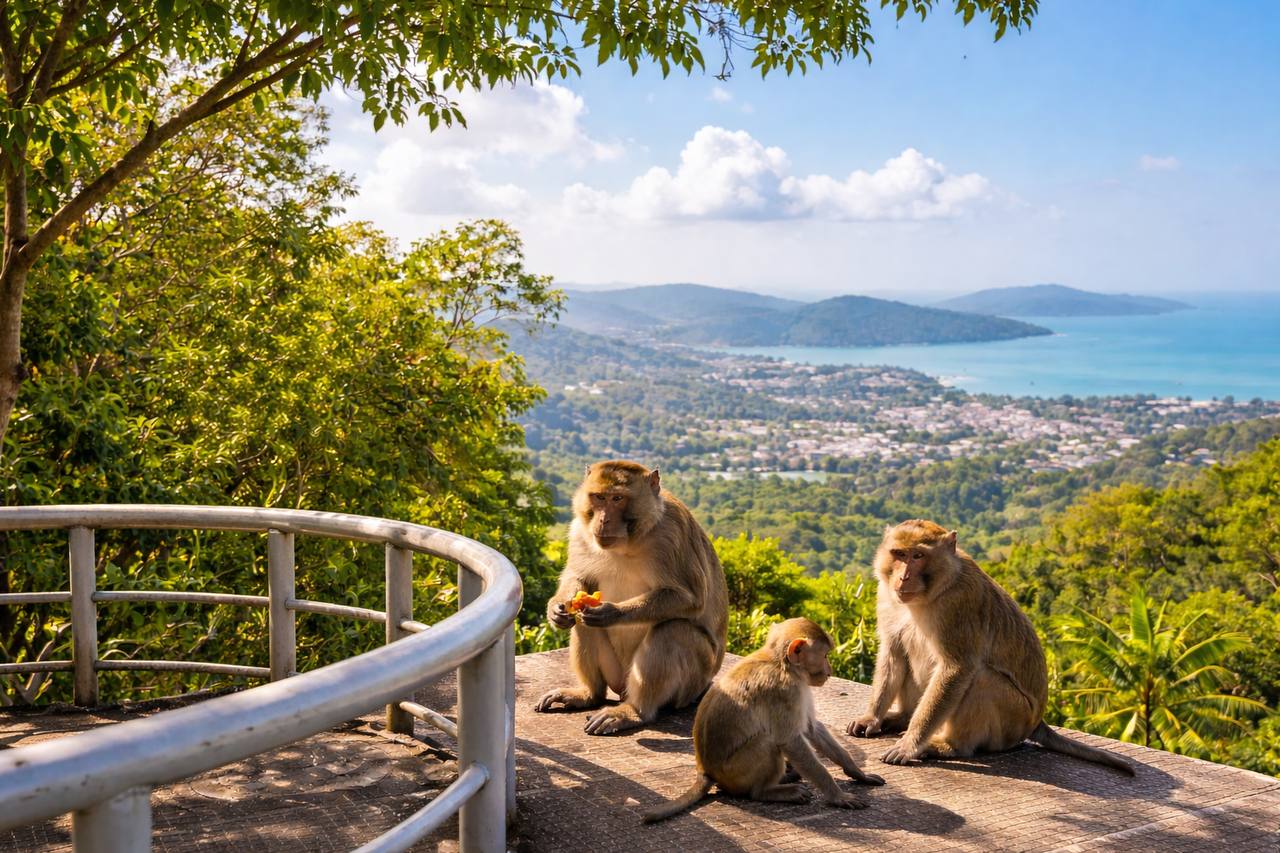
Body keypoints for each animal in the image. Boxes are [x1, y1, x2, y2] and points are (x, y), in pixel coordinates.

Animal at [533, 460, 729, 735]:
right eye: (599, 497)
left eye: (618, 498)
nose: (603, 520)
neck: (630, 541)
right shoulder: (580, 532)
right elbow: (579, 578)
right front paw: (557, 610)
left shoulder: (673, 534)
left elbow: (690, 598)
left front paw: (610, 613)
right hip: (616, 675)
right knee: (582, 622)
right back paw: (588, 694)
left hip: (692, 682)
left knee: (673, 630)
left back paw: (635, 712)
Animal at [643, 617, 885, 823]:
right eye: (825, 655)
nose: (829, 671)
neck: (783, 664)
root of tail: (705, 771)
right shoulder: (784, 691)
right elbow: (790, 741)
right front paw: (837, 796)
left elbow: (812, 728)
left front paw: (858, 773)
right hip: (735, 772)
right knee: (767, 742)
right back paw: (768, 791)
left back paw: (786, 777)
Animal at [847, 519, 1134, 775]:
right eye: (899, 554)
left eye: (918, 555)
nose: (903, 577)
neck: (934, 591)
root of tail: (1036, 722)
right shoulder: (886, 594)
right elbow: (893, 652)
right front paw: (871, 717)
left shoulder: (959, 604)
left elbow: (957, 668)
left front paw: (910, 745)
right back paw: (903, 717)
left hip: (1012, 722)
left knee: (982, 679)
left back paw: (950, 746)